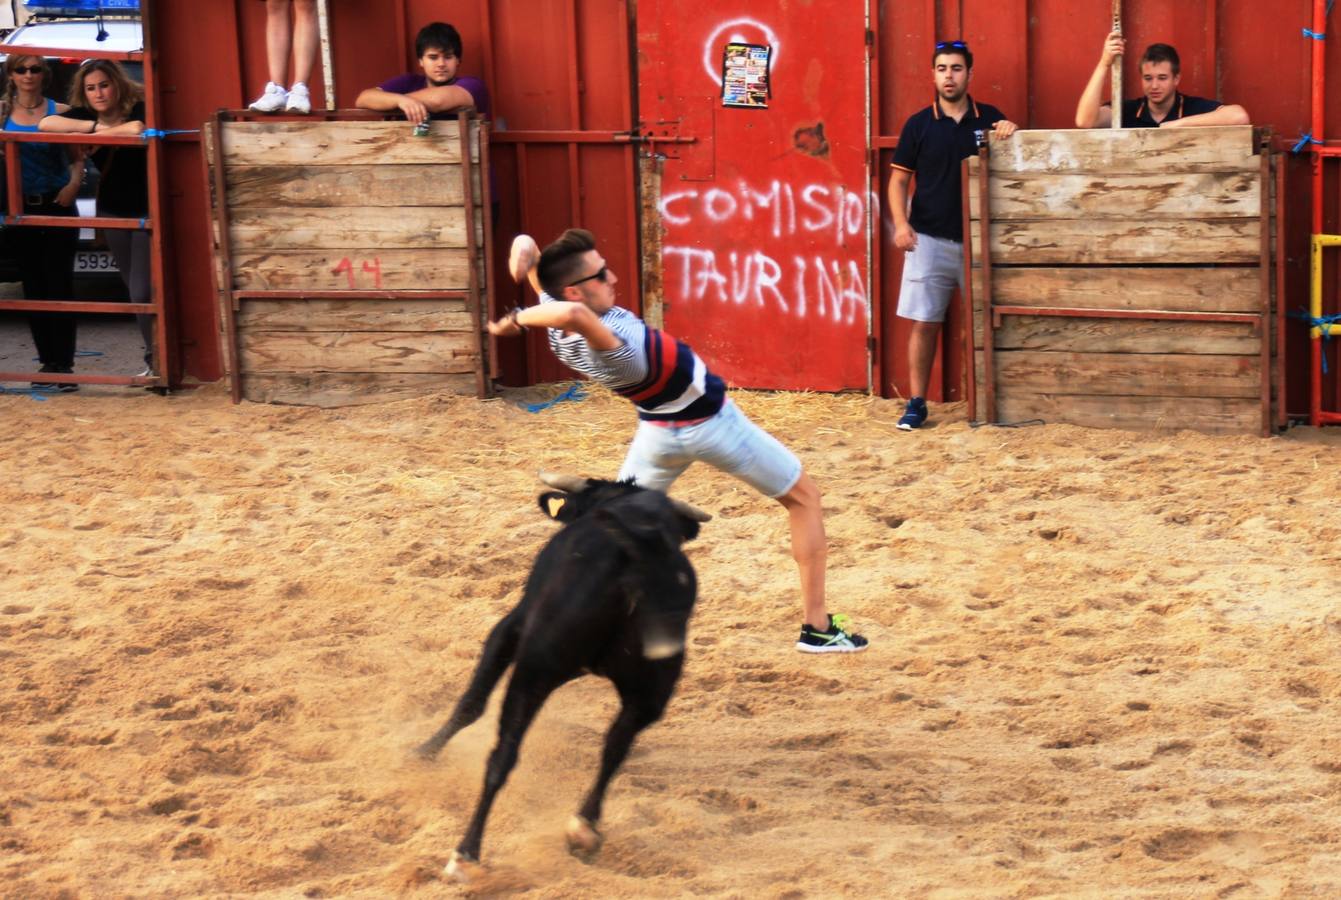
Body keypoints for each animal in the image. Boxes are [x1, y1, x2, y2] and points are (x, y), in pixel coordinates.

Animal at [415, 472, 713, 874]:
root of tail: (640, 549)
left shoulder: (509, 630)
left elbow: (471, 702)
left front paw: (424, 751)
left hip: (534, 671)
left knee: (503, 755)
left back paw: (466, 853)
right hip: (651, 691)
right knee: (615, 747)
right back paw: (583, 828)